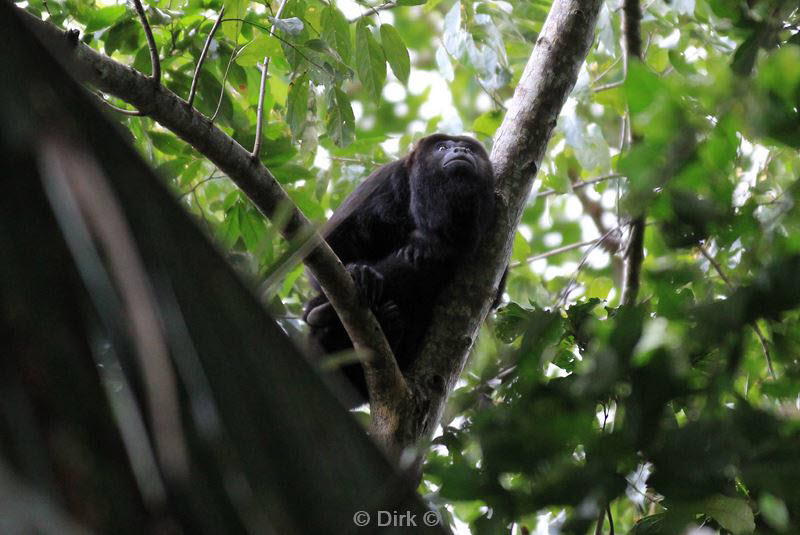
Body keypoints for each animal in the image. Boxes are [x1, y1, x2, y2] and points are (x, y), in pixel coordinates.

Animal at [304, 135, 496, 406]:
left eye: (468, 148)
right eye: (442, 147)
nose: (460, 150)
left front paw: (426, 243)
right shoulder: (386, 180)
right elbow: (327, 247)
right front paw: (359, 271)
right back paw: (324, 311)